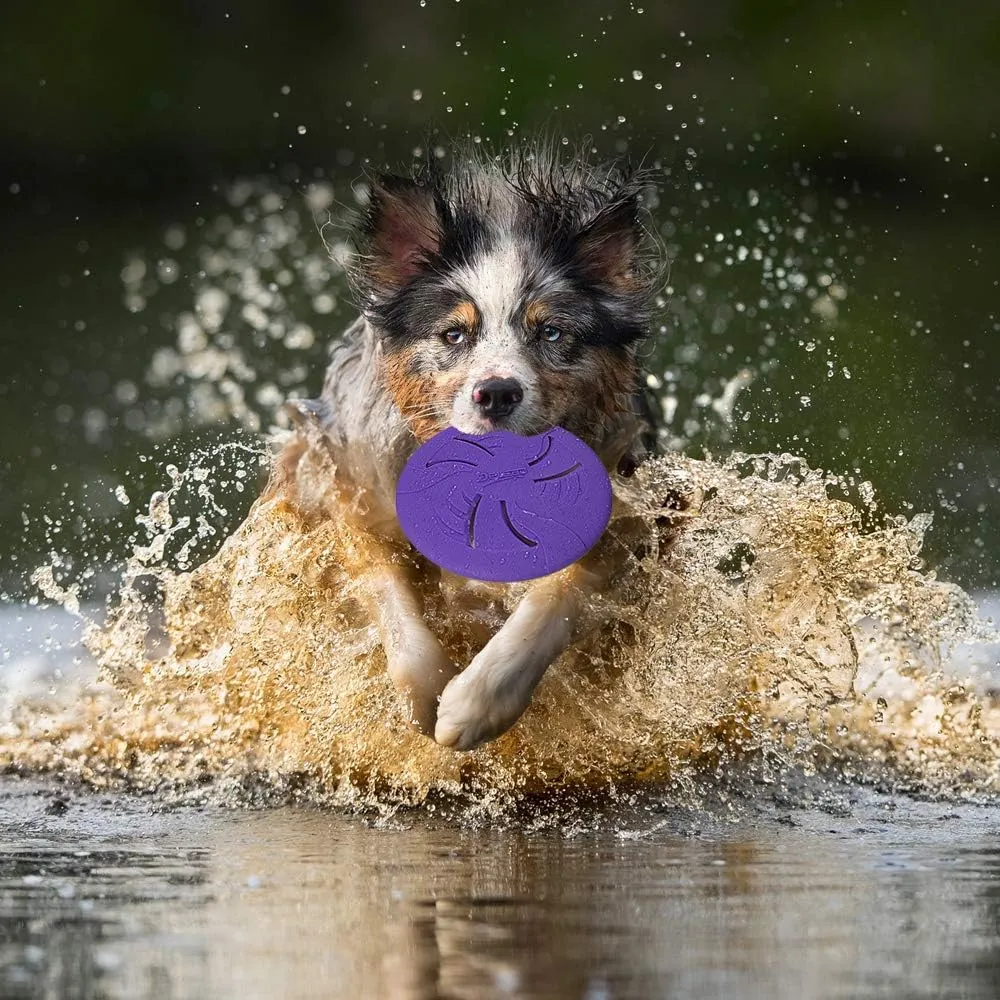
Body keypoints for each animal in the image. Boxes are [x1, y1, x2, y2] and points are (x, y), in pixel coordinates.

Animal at [274, 143, 664, 752]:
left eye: (551, 333)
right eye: (453, 334)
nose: (497, 392)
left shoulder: (626, 509)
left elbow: (560, 594)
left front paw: (472, 705)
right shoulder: (350, 487)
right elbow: (386, 590)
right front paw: (426, 695)